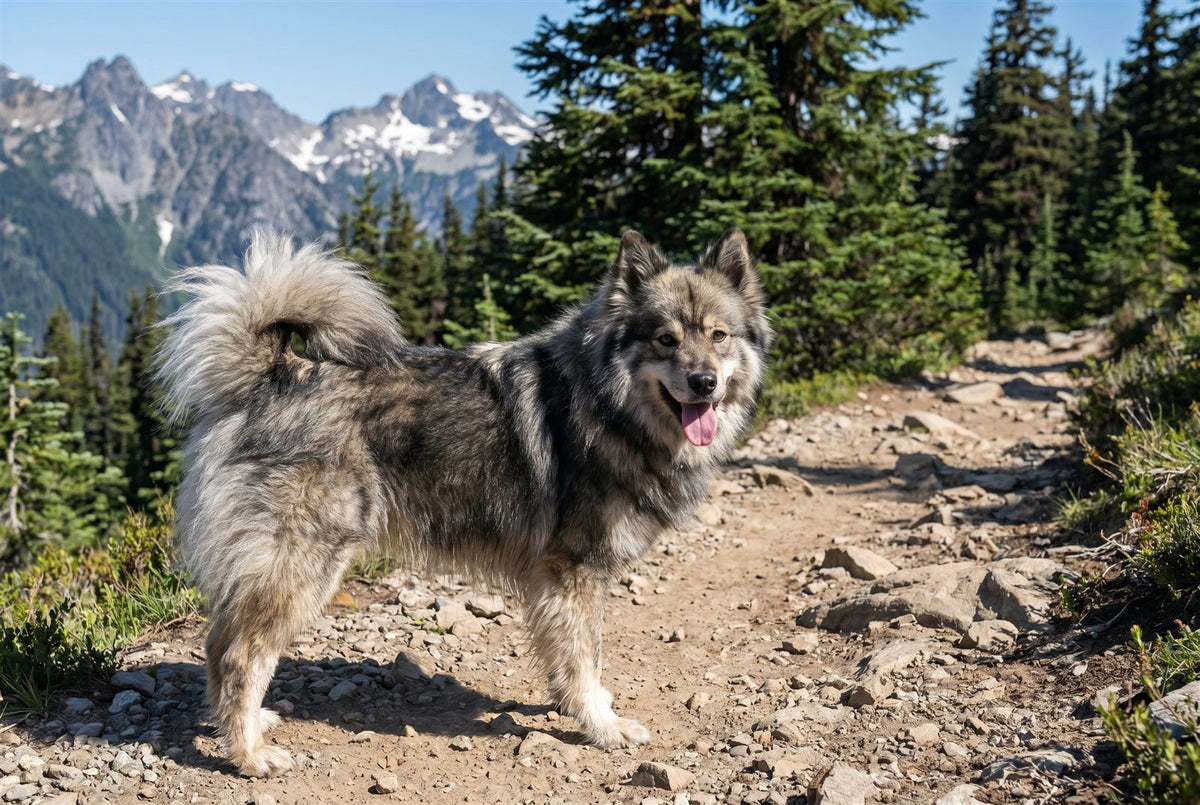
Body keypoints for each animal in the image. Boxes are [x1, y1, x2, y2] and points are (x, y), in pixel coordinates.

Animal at [156, 227, 771, 776]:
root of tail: (272, 373)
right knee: (239, 655)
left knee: (219, 646)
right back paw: (250, 755)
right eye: (665, 338)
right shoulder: (574, 570)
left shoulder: (556, 579)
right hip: (305, 564)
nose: (704, 382)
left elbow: (567, 660)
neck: (609, 405)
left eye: (719, 336)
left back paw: (250, 726)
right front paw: (603, 726)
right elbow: (584, 660)